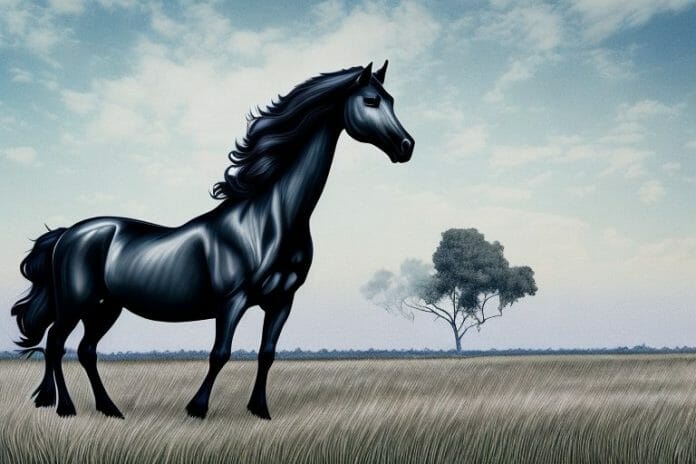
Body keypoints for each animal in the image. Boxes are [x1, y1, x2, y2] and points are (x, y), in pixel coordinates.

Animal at [11, 61, 414, 420]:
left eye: (392, 100)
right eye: (371, 101)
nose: (406, 146)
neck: (269, 221)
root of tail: (68, 234)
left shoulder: (282, 302)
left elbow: (267, 353)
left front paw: (260, 410)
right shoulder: (232, 301)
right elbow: (220, 353)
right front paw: (197, 408)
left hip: (106, 307)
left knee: (85, 351)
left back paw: (109, 409)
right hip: (74, 303)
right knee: (55, 345)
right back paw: (65, 407)